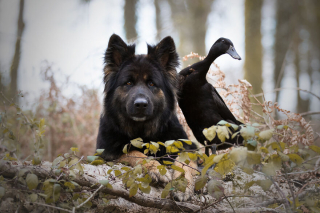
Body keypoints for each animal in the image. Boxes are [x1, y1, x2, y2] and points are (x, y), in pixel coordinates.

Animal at [96, 34, 198, 201]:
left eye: (151, 83)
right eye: (128, 82)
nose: (141, 104)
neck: (143, 131)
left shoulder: (189, 147)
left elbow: (184, 160)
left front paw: (182, 184)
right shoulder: (108, 153)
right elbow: (134, 153)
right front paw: (155, 168)